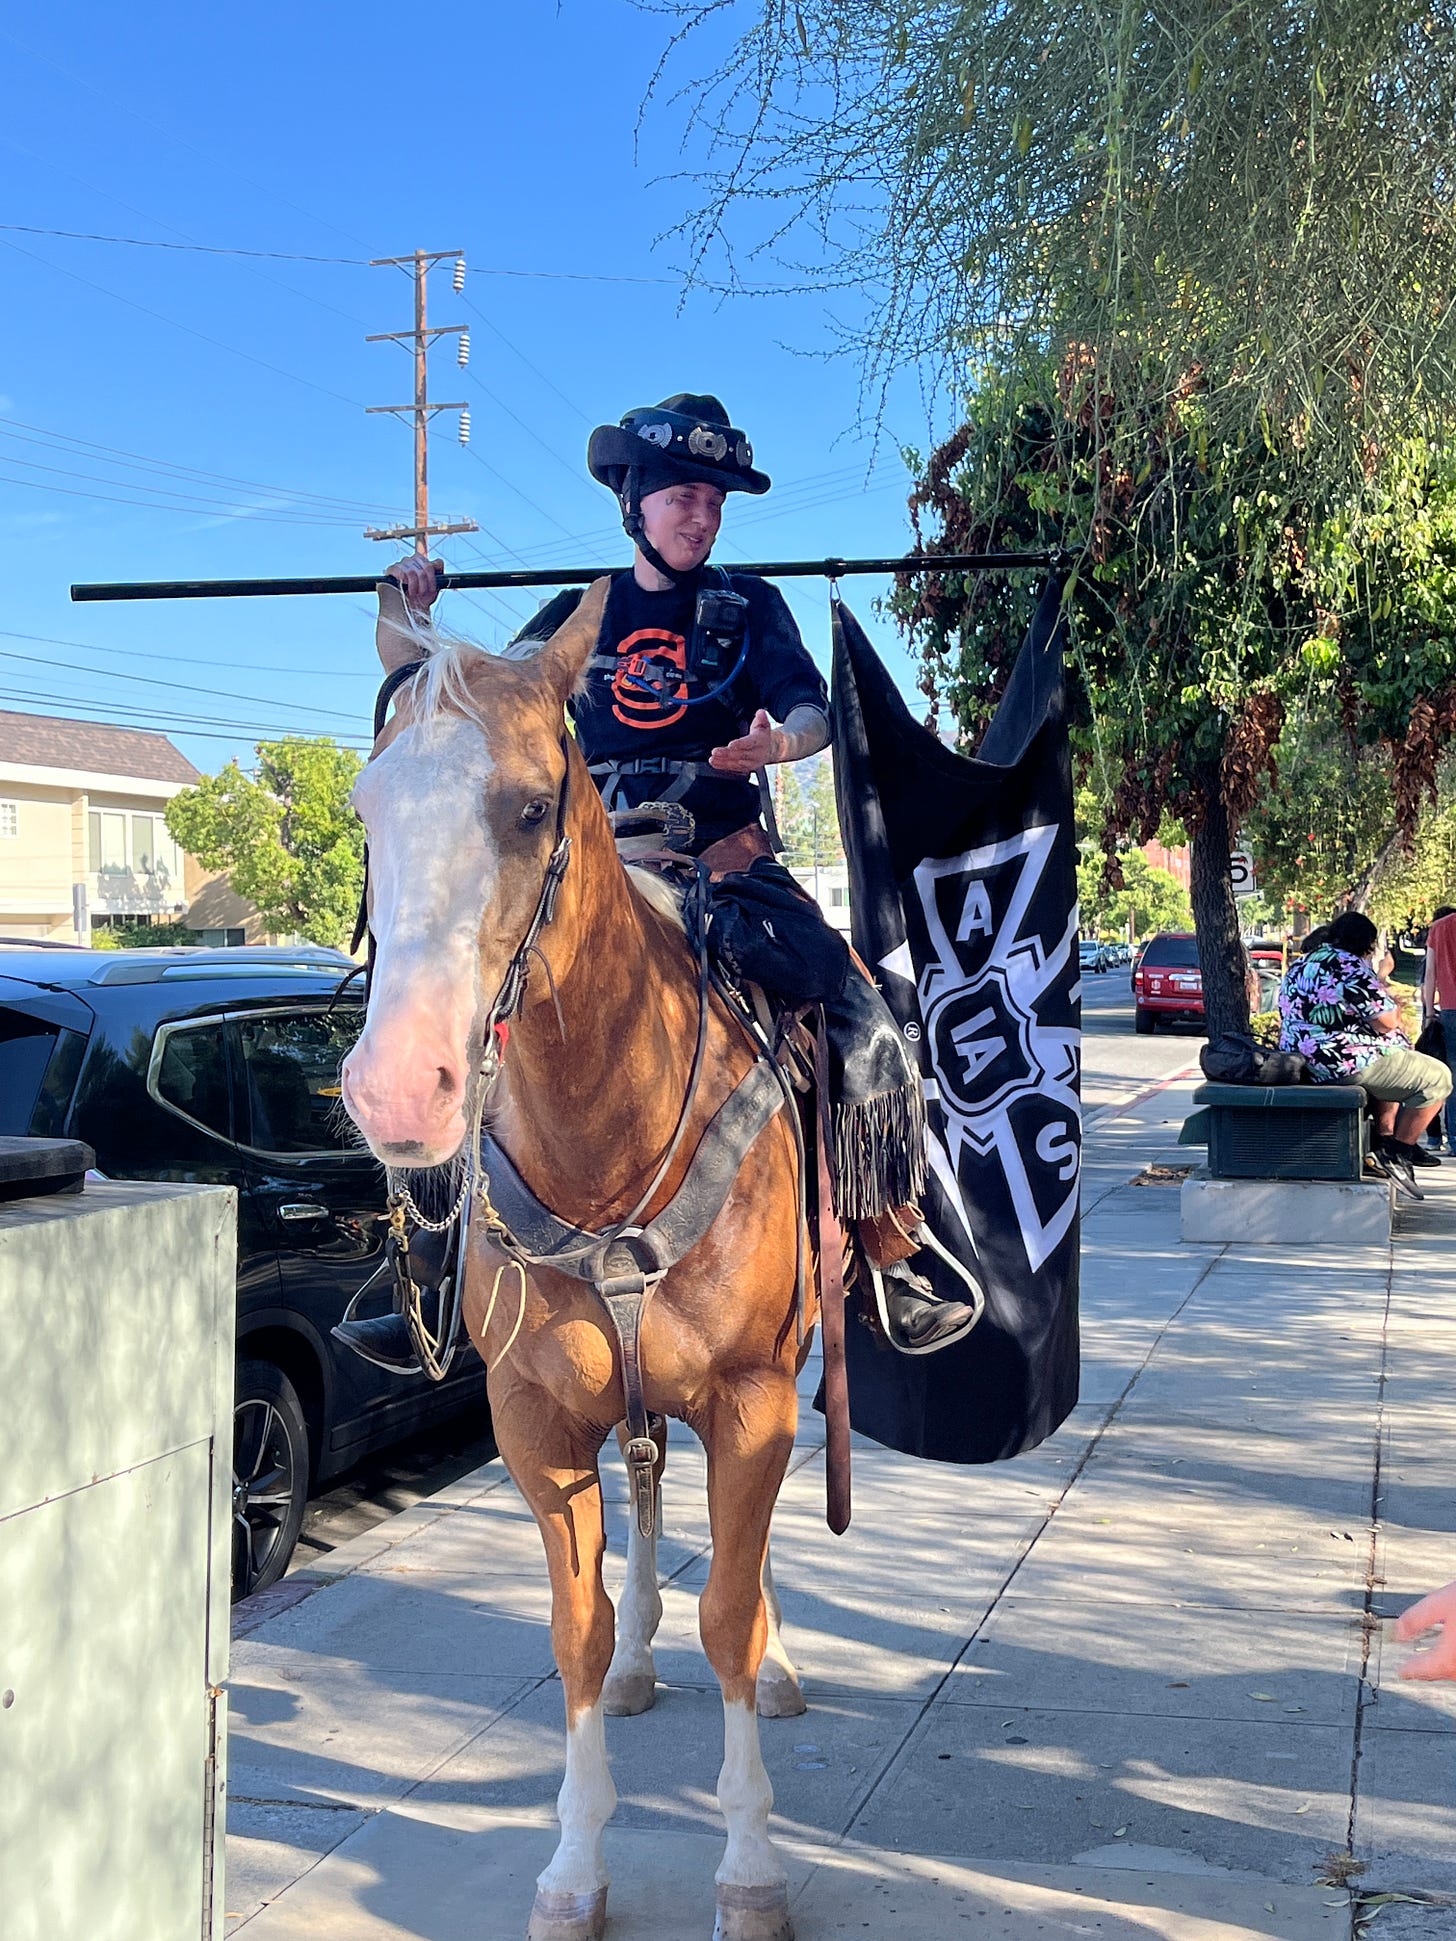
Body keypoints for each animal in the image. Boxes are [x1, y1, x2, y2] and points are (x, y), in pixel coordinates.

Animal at [343, 582, 815, 1941]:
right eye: (366, 810)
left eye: (530, 808)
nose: (397, 1092)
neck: (609, 1127)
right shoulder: (534, 1421)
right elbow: (577, 1632)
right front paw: (572, 1864)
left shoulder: (754, 1402)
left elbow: (729, 1609)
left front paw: (749, 1863)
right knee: (650, 1501)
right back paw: (649, 1661)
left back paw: (780, 1660)